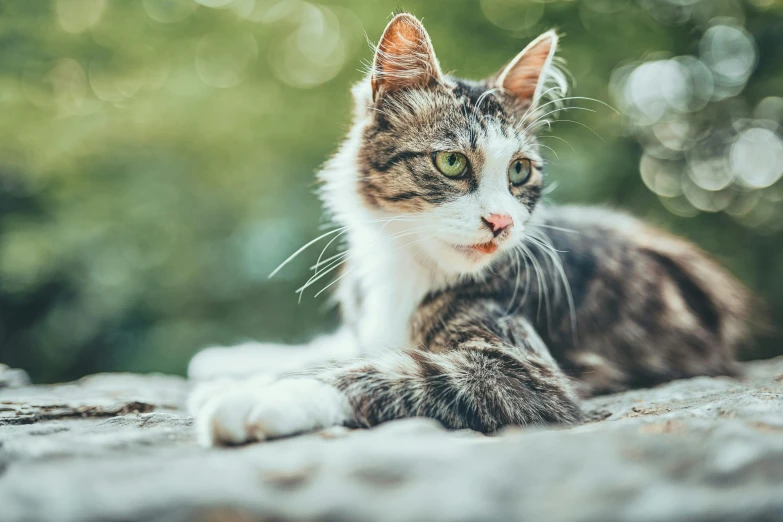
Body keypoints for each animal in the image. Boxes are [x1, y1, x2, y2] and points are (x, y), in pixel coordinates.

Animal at [187, 11, 752, 442]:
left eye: (519, 171)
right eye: (452, 163)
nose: (500, 222)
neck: (404, 265)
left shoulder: (527, 372)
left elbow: (396, 370)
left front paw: (265, 397)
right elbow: (355, 351)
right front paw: (250, 373)